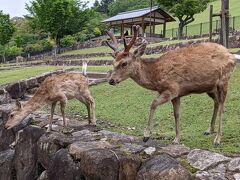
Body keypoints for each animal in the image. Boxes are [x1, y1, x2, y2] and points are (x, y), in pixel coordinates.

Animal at [105, 25, 236, 146]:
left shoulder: (172, 88)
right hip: (210, 87)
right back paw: (209, 130)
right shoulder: (177, 94)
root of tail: (232, 56)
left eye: (124, 63)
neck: (156, 77)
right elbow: (176, 114)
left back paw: (217, 139)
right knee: (217, 102)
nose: (111, 80)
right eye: (113, 63)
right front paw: (176, 139)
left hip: (224, 80)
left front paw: (146, 135)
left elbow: (153, 103)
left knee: (222, 106)